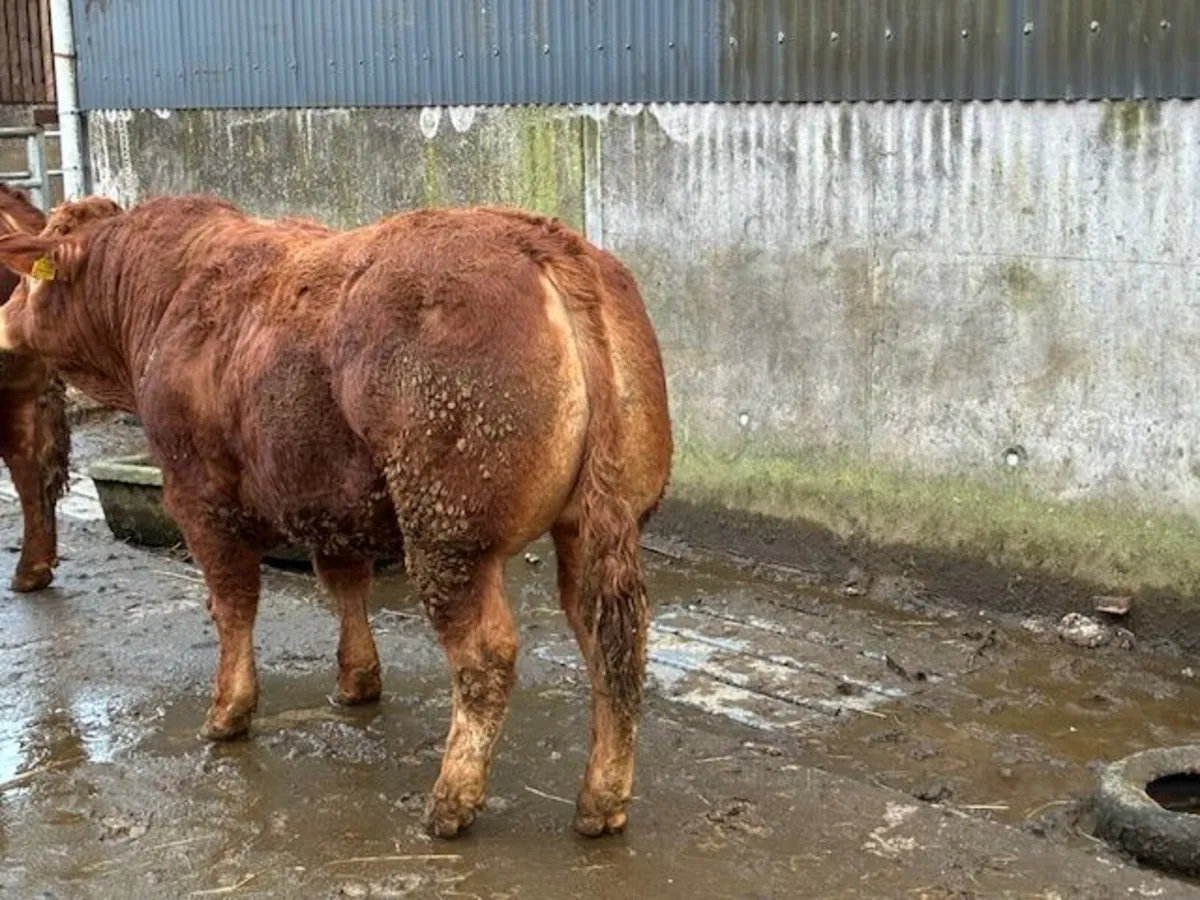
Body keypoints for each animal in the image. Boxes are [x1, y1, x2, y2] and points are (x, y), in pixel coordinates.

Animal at [0, 193, 673, 839]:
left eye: (28, 281)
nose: (4, 320)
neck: (164, 295)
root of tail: (542, 241)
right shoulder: (325, 492)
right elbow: (345, 583)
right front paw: (357, 682)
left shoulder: (198, 494)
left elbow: (232, 603)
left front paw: (228, 712)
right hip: (596, 520)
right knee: (609, 638)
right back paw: (601, 801)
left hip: (448, 530)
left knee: (486, 657)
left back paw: (451, 802)